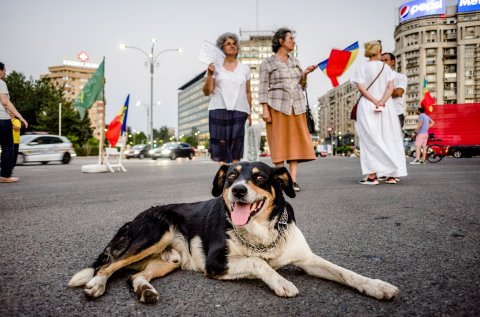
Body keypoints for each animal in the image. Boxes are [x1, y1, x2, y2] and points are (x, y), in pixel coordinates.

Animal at [67, 162, 398, 302]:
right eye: (230, 177)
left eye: (260, 177)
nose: (238, 190)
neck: (261, 233)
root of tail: (136, 217)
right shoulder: (216, 263)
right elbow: (258, 262)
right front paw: (280, 281)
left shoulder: (308, 259)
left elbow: (346, 273)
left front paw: (377, 286)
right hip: (154, 233)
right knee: (108, 265)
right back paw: (96, 285)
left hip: (168, 260)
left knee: (133, 276)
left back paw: (145, 290)